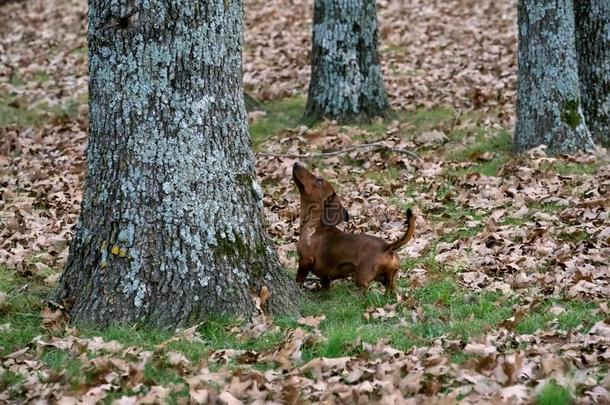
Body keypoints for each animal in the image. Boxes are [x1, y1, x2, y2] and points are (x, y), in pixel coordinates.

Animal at [290, 161, 414, 290]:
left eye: (319, 180)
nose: (296, 163)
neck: (314, 224)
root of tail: (387, 247)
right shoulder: (325, 276)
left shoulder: (305, 260)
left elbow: (299, 278)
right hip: (389, 281)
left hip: (362, 279)